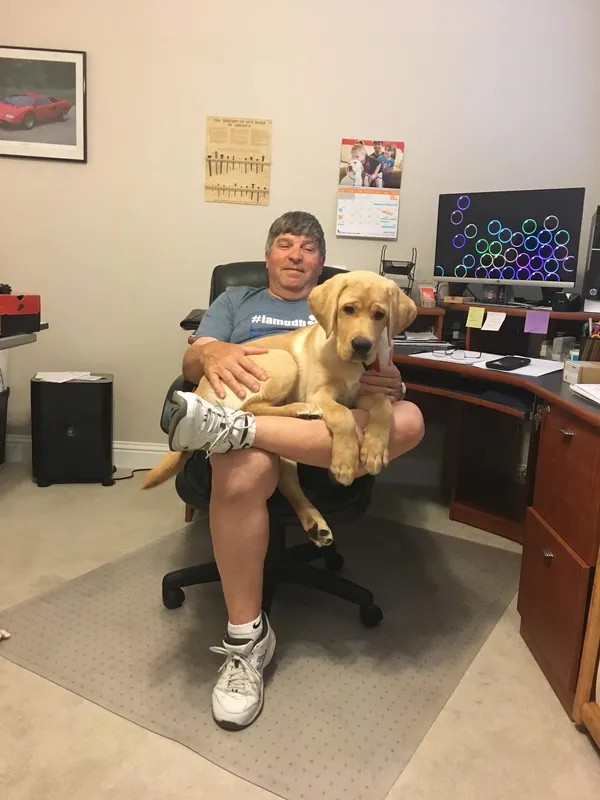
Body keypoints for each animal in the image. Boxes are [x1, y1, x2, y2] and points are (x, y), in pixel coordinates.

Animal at [142, 271, 417, 547]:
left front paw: (373, 451)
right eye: (348, 309)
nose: (362, 345)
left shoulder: (366, 393)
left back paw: (316, 523)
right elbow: (343, 415)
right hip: (284, 361)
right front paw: (346, 461)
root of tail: (202, 388)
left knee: (286, 480)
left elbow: (384, 407)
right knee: (252, 407)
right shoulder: (321, 394)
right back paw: (303, 410)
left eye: (380, 315)